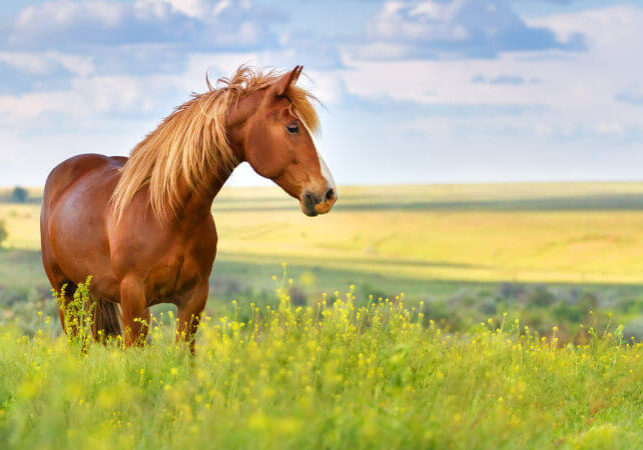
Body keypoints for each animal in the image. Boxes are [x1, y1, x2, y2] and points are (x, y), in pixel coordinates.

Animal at [40, 65, 337, 351]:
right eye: (293, 127)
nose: (328, 193)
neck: (167, 213)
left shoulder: (193, 300)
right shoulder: (134, 299)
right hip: (65, 291)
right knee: (77, 345)